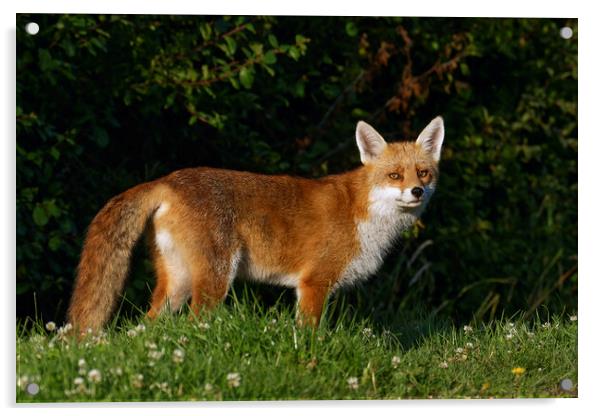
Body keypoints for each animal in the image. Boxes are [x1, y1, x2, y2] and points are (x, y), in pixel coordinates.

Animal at [68, 116, 442, 332]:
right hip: (216, 278)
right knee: (193, 322)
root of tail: (167, 180)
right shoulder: (314, 283)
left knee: (148, 326)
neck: (364, 215)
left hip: (177, 283)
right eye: (395, 176)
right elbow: (310, 335)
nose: (416, 191)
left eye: (423, 172)